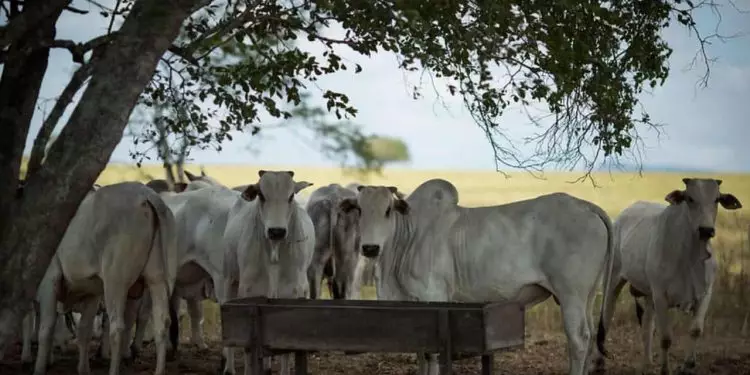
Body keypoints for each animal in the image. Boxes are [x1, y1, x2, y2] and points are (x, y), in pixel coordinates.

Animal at [32, 182, 178, 375]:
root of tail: (146, 194)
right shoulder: (92, 291)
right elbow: (84, 331)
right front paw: (83, 369)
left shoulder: (50, 280)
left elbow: (46, 328)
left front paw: (40, 367)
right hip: (157, 278)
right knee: (162, 323)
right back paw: (159, 370)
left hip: (115, 281)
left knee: (117, 328)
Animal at [223, 171, 318, 375]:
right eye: (261, 195)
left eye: (290, 196)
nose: (276, 231)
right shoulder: (248, 292)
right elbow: (246, 347)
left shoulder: (291, 294)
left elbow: (285, 349)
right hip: (228, 280)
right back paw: (229, 368)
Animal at [340, 181, 616, 375]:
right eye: (359, 210)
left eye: (388, 210)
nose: (370, 248)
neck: (409, 236)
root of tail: (586, 206)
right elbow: (422, 352)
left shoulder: (435, 297)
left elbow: (432, 354)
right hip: (588, 295)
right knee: (590, 334)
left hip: (571, 295)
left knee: (579, 338)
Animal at [596, 178, 744, 375]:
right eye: (690, 198)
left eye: (717, 199)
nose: (706, 230)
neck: (691, 256)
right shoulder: (661, 296)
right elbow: (666, 338)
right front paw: (665, 370)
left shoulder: (705, 294)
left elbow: (696, 330)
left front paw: (688, 365)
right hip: (613, 279)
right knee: (606, 315)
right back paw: (599, 363)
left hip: (648, 293)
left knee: (647, 326)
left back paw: (647, 364)